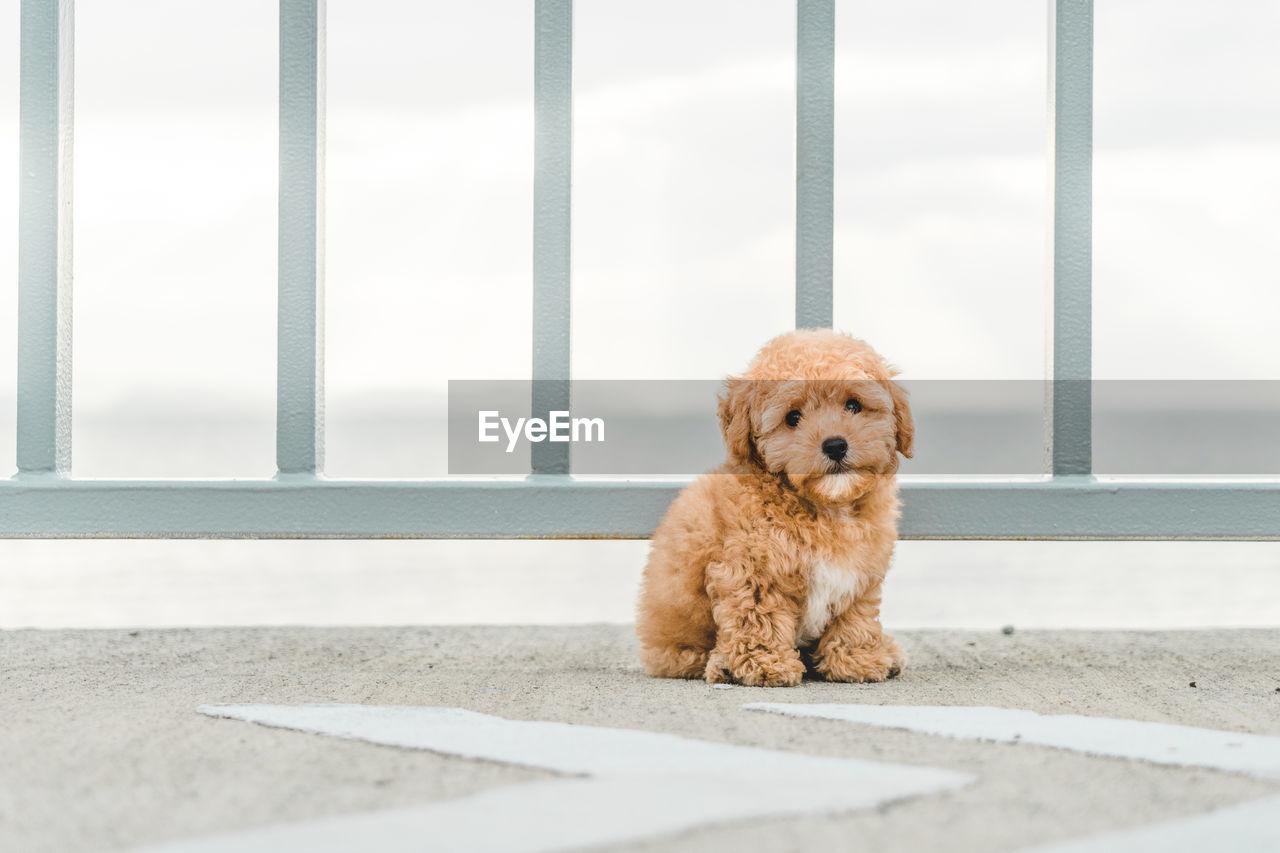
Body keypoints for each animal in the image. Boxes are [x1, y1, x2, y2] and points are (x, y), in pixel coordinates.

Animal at [637, 325, 916, 686]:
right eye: (793, 417)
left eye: (853, 405)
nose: (835, 445)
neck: (825, 507)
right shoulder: (750, 569)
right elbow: (757, 617)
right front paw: (764, 664)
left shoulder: (859, 572)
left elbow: (855, 616)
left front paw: (856, 661)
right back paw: (722, 664)